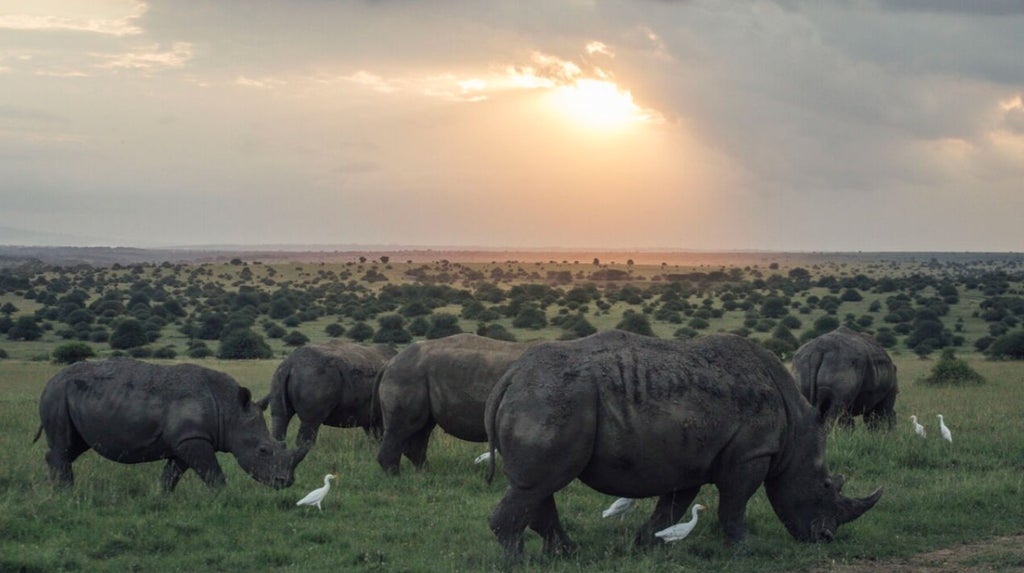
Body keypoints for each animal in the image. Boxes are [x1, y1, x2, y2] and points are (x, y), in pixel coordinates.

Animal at [33, 356, 303, 491]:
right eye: (263, 451)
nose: (285, 482)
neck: (230, 411)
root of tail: (49, 381)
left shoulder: (186, 440)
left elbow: (171, 474)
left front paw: (160, 497)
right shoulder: (193, 438)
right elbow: (213, 473)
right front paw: (225, 497)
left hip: (69, 397)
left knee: (73, 446)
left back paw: (56, 488)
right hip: (57, 395)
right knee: (64, 446)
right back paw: (66, 492)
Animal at [254, 341, 395, 450]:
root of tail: (290, 363)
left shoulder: (369, 413)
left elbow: (374, 435)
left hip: (279, 375)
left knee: (280, 417)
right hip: (315, 376)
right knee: (311, 422)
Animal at [378, 331, 536, 474]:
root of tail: (389, 362)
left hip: (415, 375)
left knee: (422, 428)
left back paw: (424, 474)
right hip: (406, 375)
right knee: (401, 429)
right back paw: (395, 477)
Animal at [485, 331, 880, 560]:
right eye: (826, 486)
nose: (825, 538)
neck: (797, 429)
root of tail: (509, 377)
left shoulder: (694, 458)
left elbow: (673, 506)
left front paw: (647, 544)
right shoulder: (751, 454)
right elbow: (734, 504)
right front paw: (747, 549)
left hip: (546, 399)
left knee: (537, 485)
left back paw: (567, 555)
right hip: (551, 399)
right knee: (539, 483)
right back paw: (518, 562)